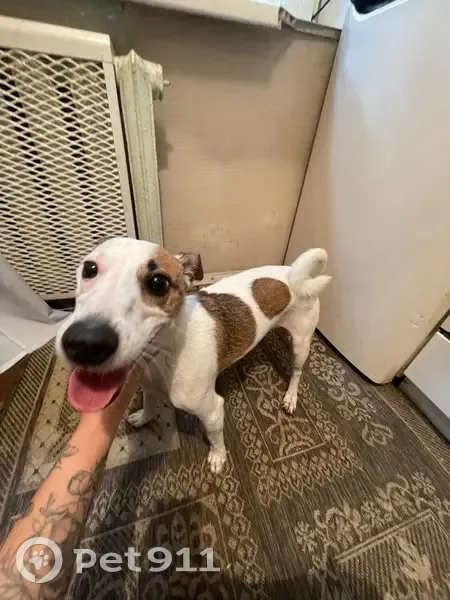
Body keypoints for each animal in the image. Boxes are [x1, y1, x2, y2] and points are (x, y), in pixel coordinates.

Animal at [56, 237, 330, 473]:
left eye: (158, 282)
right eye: (89, 268)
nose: (85, 342)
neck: (165, 354)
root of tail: (294, 274)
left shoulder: (212, 410)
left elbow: (215, 437)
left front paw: (218, 457)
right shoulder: (149, 386)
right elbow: (150, 406)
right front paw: (143, 417)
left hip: (301, 345)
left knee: (297, 372)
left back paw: (291, 397)